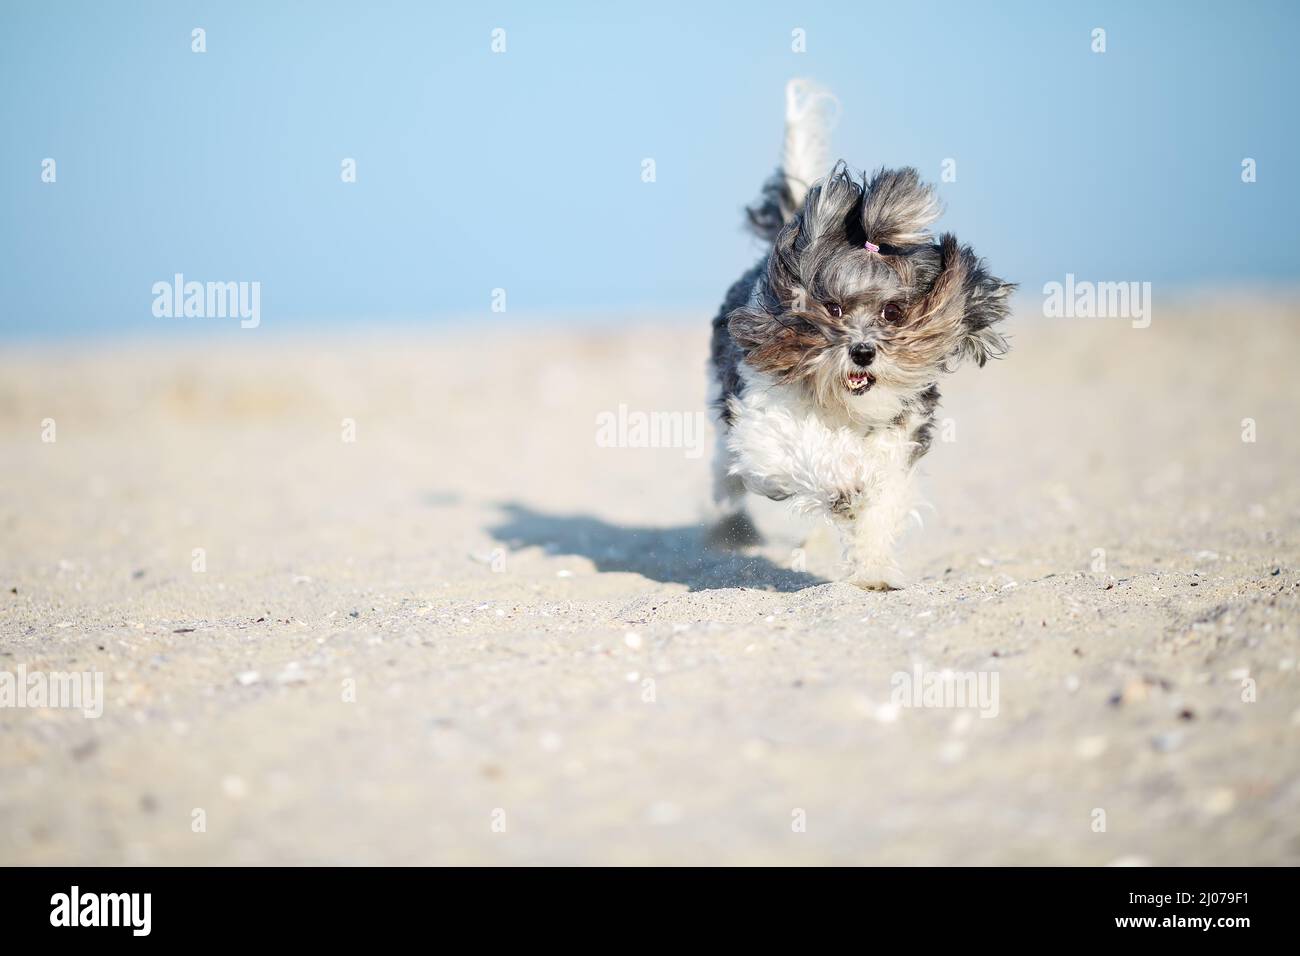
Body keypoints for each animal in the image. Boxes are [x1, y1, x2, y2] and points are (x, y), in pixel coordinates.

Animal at [712, 80, 1013, 590]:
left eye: (892, 312)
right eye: (833, 308)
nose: (863, 351)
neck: (840, 406)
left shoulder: (898, 440)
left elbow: (881, 502)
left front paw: (874, 569)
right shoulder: (764, 424)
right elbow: (805, 449)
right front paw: (840, 486)